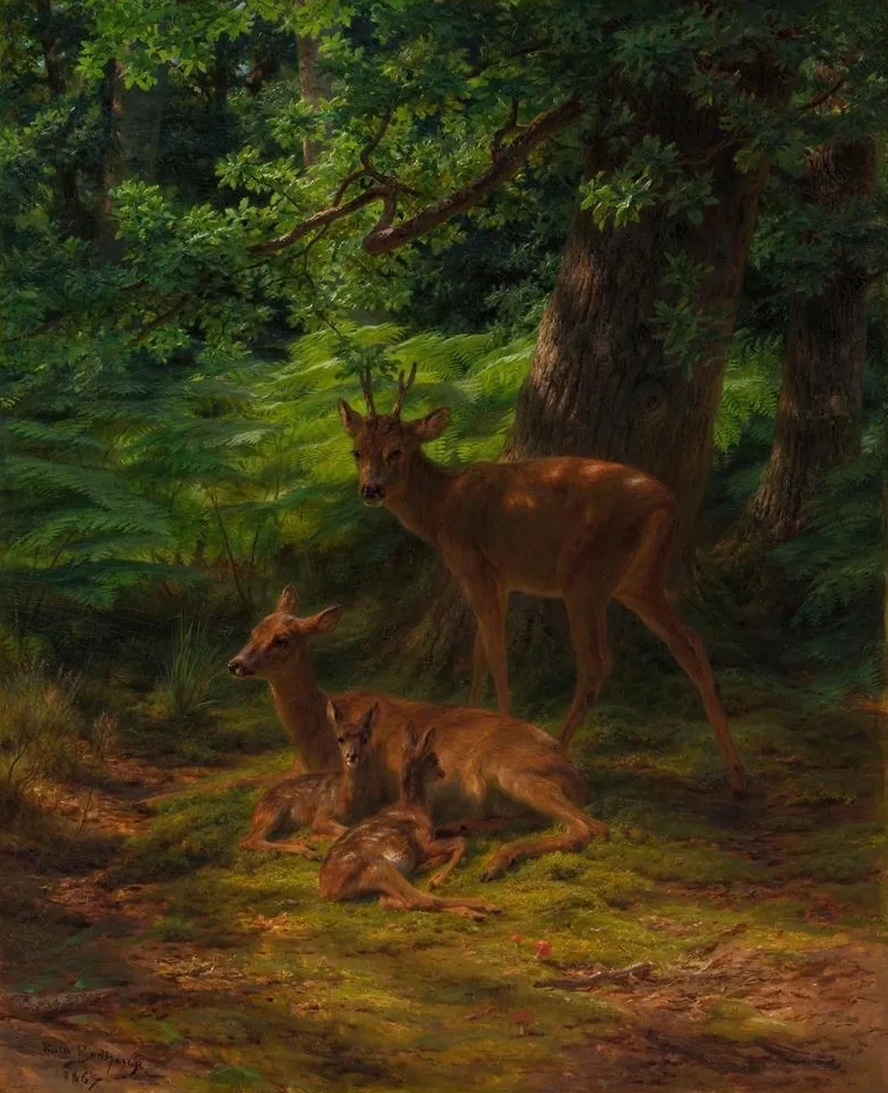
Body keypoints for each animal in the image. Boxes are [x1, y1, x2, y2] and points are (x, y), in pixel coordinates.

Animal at [239, 701, 381, 857]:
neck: (347, 798)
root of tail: (256, 811)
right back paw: (308, 851)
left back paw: (305, 844)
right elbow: (344, 830)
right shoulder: (323, 813)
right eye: (340, 739)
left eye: (364, 739)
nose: (352, 755)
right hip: (275, 809)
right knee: (250, 840)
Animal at [318, 723, 501, 920]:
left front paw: (428, 867)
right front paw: (437, 879)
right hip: (380, 866)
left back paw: (471, 911)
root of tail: (328, 890)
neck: (415, 808)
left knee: (394, 903)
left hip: (380, 880)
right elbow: (461, 842)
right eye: (433, 759)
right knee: (417, 900)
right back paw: (484, 906)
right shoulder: (424, 842)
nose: (442, 772)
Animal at [336, 366, 746, 798]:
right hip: (638, 581)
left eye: (396, 451)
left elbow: (497, 655)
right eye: (357, 451)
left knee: (597, 663)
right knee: (690, 642)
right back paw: (737, 775)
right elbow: (479, 653)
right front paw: (473, 717)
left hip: (588, 579)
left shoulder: (477, 569)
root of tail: (668, 503)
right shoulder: (497, 581)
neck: (442, 507)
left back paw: (557, 750)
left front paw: (498, 726)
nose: (370, 489)